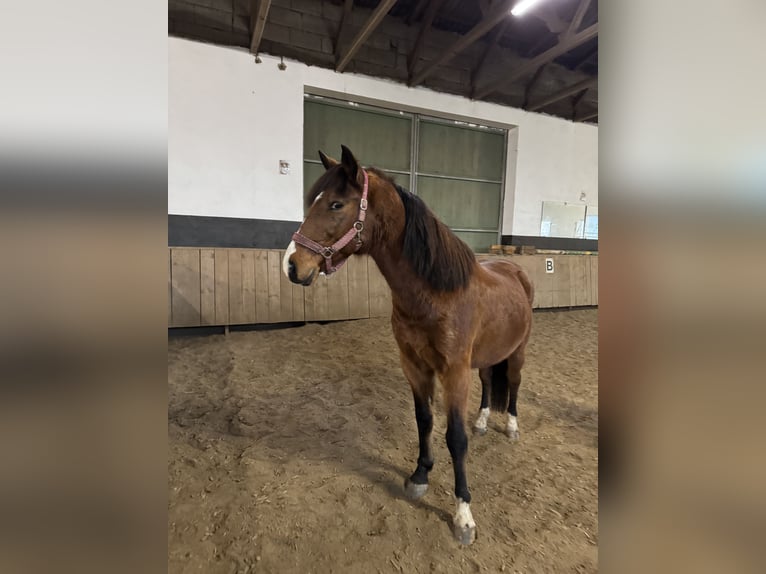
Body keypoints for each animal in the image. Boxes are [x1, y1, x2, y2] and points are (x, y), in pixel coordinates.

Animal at [283, 145, 534, 545]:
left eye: (336, 204)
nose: (292, 265)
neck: (436, 294)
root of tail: (515, 270)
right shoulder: (414, 365)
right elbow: (424, 420)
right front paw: (419, 476)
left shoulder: (454, 372)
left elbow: (455, 437)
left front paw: (463, 515)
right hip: (483, 359)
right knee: (488, 384)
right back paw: (483, 421)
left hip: (517, 352)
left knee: (512, 384)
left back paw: (510, 427)